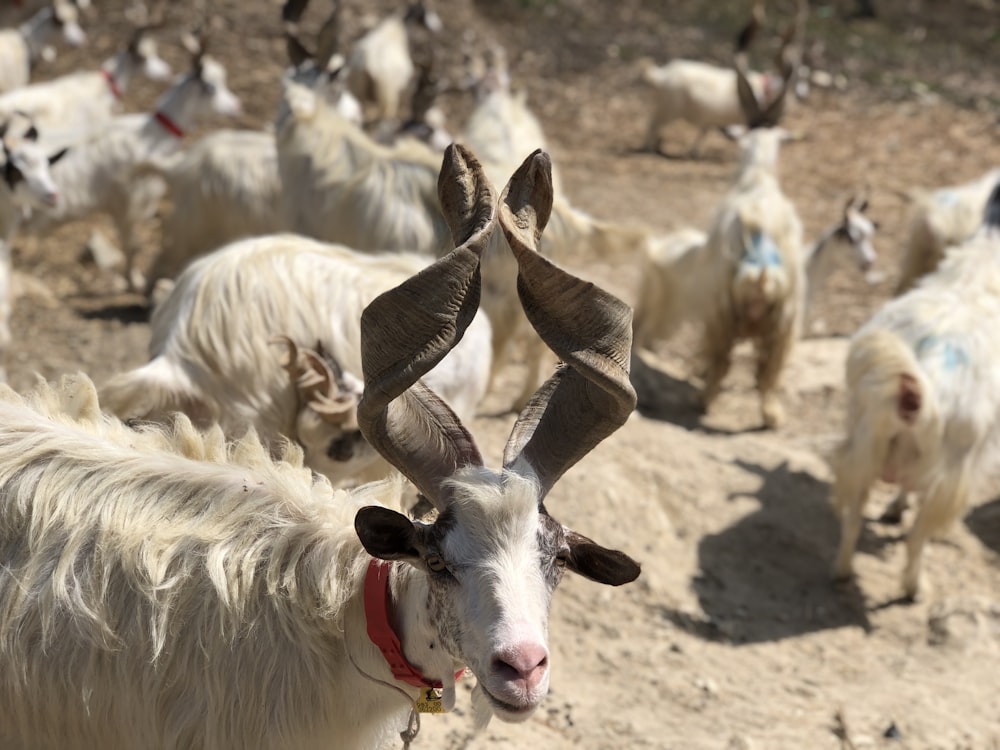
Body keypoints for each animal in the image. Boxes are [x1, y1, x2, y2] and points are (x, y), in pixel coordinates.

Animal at [20, 37, 242, 290]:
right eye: (210, 87)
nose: (237, 106)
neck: (150, 136)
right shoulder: (127, 204)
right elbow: (133, 245)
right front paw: (134, 281)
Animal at [832, 181, 1000, 600]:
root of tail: (919, 394)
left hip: (864, 445)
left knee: (853, 518)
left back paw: (842, 571)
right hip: (949, 476)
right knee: (917, 538)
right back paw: (914, 588)